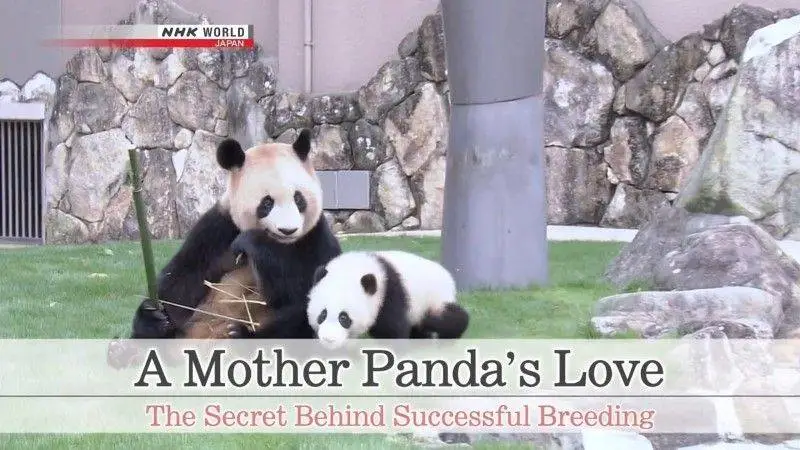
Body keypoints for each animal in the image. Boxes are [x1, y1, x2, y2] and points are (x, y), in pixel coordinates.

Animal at [126, 129, 342, 340]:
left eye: (298, 199)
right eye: (267, 203)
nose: (287, 230)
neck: (281, 244)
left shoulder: (315, 239)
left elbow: (301, 289)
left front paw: (252, 243)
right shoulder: (217, 230)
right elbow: (182, 281)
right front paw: (153, 318)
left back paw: (243, 335)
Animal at [305, 250, 470, 349]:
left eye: (344, 318)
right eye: (322, 315)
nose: (328, 339)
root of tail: (447, 275)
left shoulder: (389, 293)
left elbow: (391, 330)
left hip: (434, 298)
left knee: (446, 318)